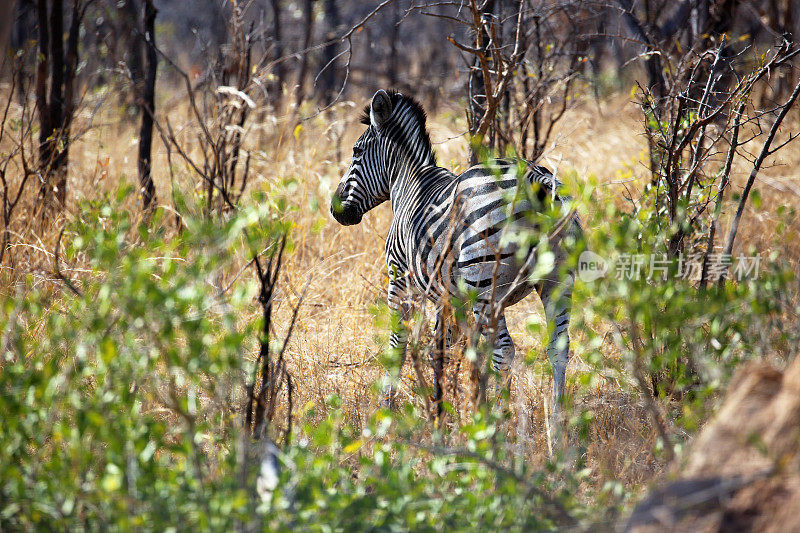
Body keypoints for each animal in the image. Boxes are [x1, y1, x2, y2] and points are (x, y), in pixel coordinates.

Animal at [332, 88, 580, 412]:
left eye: (356, 152)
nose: (335, 210)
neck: (408, 182)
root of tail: (533, 177)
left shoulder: (399, 278)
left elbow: (398, 343)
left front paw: (387, 407)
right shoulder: (450, 296)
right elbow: (444, 350)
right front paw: (442, 408)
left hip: (486, 285)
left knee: (504, 351)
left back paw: (496, 420)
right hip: (557, 280)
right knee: (558, 349)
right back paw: (557, 421)